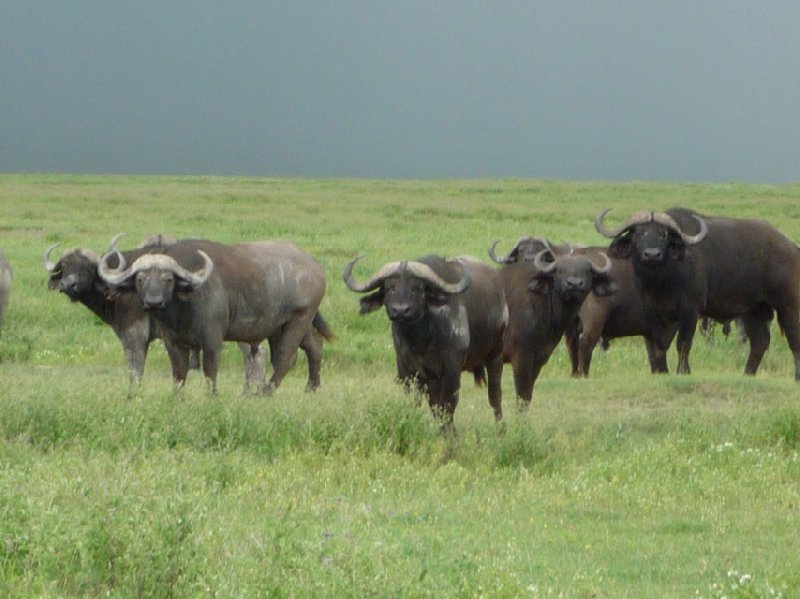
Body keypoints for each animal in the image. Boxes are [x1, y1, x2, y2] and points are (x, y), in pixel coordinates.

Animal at [99, 237, 332, 396]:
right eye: (140, 279)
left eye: (168, 279)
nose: (153, 301)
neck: (183, 308)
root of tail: (314, 266)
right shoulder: (172, 342)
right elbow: (179, 373)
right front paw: (177, 398)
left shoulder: (212, 340)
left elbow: (210, 371)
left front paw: (212, 396)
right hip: (283, 325)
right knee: (313, 346)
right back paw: (312, 388)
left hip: (300, 318)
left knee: (285, 357)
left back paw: (264, 392)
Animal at [342, 255, 506, 428]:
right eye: (390, 288)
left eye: (417, 288)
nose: (400, 310)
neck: (421, 340)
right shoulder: (408, 372)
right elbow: (419, 404)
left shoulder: (451, 370)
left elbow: (447, 406)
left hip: (496, 355)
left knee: (495, 395)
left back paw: (501, 428)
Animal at [500, 240, 620, 408]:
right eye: (560, 271)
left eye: (587, 271)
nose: (574, 284)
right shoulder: (521, 358)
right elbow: (522, 396)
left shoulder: (539, 359)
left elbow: (528, 395)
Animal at [596, 209, 800, 380]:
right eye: (639, 233)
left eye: (663, 234)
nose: (652, 254)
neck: (662, 279)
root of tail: (790, 246)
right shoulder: (652, 310)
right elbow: (659, 343)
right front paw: (661, 371)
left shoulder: (689, 309)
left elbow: (683, 342)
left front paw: (683, 371)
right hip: (753, 310)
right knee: (759, 341)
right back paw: (747, 374)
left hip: (788, 305)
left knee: (793, 338)